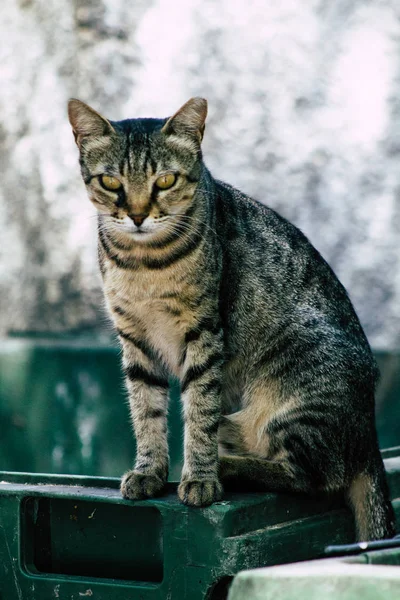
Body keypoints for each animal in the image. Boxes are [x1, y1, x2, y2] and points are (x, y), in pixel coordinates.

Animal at [69, 96, 396, 540]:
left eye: (165, 181)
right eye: (111, 182)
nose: (137, 215)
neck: (144, 264)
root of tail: (369, 436)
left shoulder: (204, 333)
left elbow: (199, 410)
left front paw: (200, 476)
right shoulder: (134, 339)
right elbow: (146, 409)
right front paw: (149, 471)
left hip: (296, 389)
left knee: (314, 477)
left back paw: (227, 467)